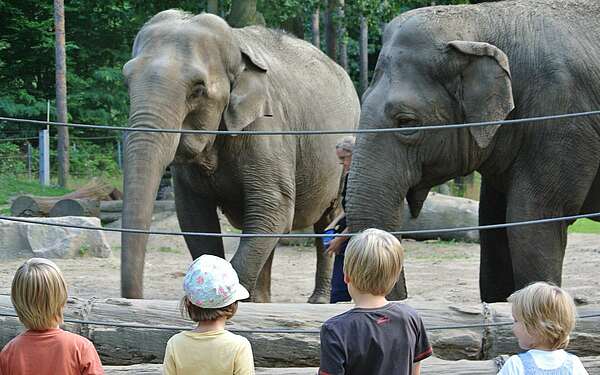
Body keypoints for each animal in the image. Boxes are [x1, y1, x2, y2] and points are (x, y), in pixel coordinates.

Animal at [119, 11, 358, 302]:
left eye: (198, 90)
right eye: (127, 81)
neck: (237, 45)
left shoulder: (267, 128)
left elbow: (274, 207)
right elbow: (194, 218)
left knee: (325, 220)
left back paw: (317, 300)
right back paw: (262, 301)